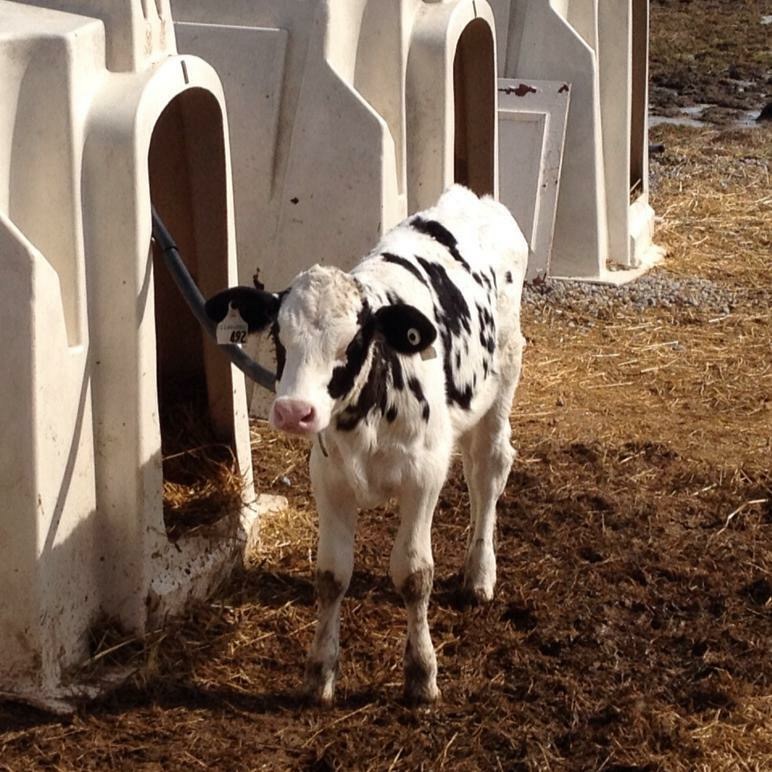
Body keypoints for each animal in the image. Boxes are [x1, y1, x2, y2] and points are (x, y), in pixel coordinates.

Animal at [206, 185, 528, 705]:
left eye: (352, 343)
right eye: (279, 337)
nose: (294, 410)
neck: (367, 416)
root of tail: (472, 198)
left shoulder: (423, 477)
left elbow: (414, 574)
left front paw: (421, 674)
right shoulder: (329, 479)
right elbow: (331, 575)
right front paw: (320, 673)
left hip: (503, 381)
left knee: (488, 471)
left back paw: (480, 574)